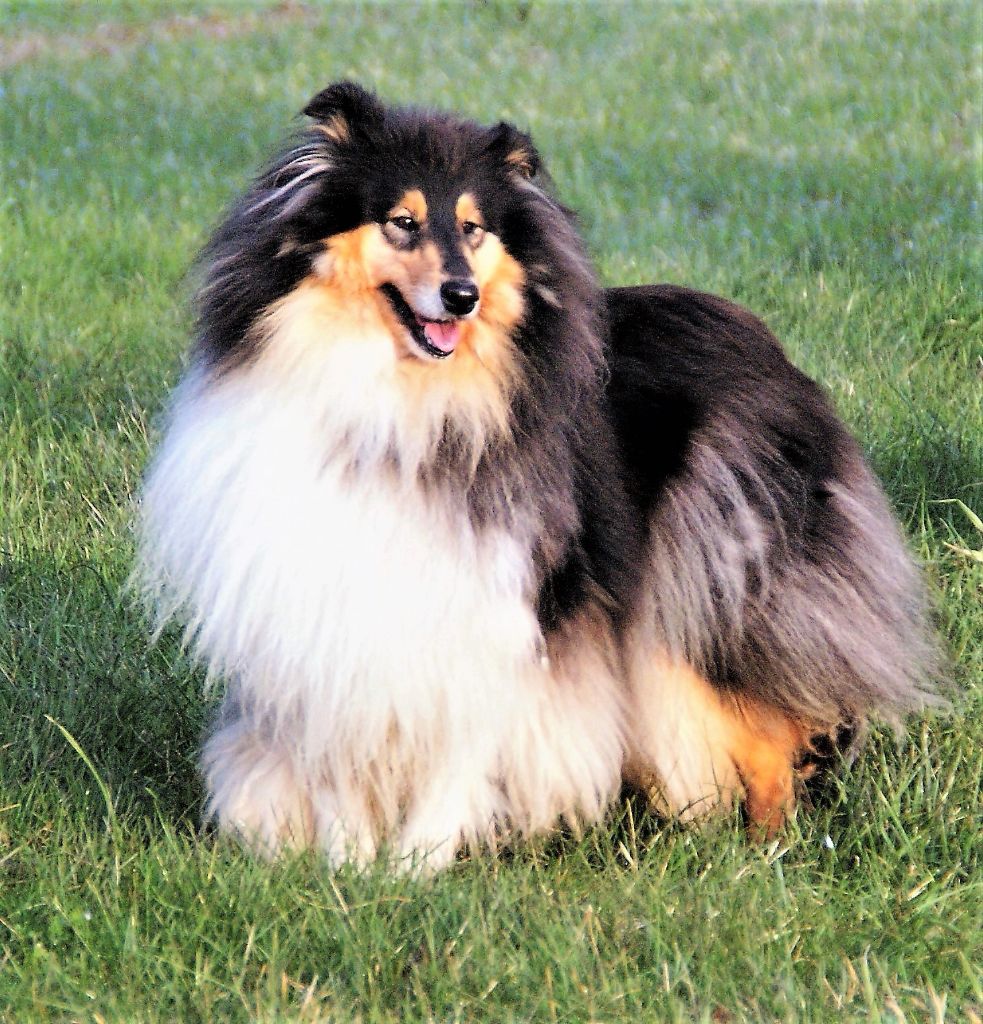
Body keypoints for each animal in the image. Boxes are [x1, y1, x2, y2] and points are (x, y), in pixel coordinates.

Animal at [136, 82, 937, 869]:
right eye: (401, 222)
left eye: (474, 229)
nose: (461, 297)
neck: (398, 404)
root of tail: (770, 350)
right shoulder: (315, 620)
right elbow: (337, 767)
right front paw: (351, 875)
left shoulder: (493, 606)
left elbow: (458, 753)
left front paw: (416, 873)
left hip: (702, 596)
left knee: (765, 733)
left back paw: (761, 856)